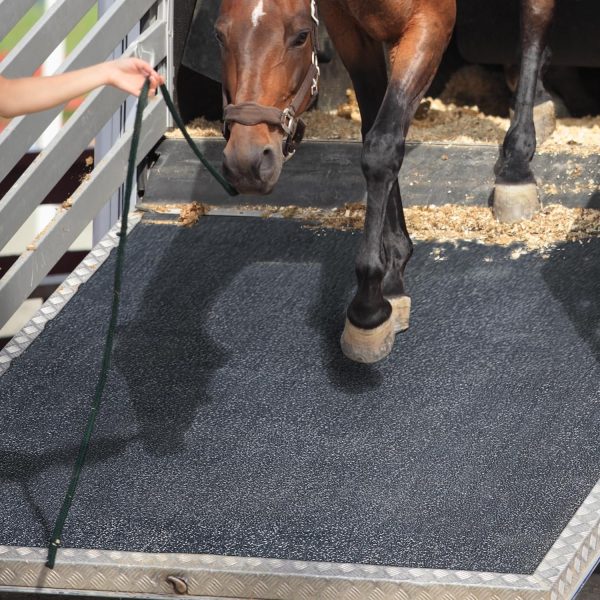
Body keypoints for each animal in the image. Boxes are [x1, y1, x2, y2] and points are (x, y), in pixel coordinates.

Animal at [216, 0, 556, 364]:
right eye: (219, 35)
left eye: (301, 36)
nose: (247, 161)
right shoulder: (351, 33)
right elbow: (375, 131)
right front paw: (393, 274)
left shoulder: (430, 22)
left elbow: (382, 147)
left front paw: (368, 309)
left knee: (535, 21)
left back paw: (517, 163)